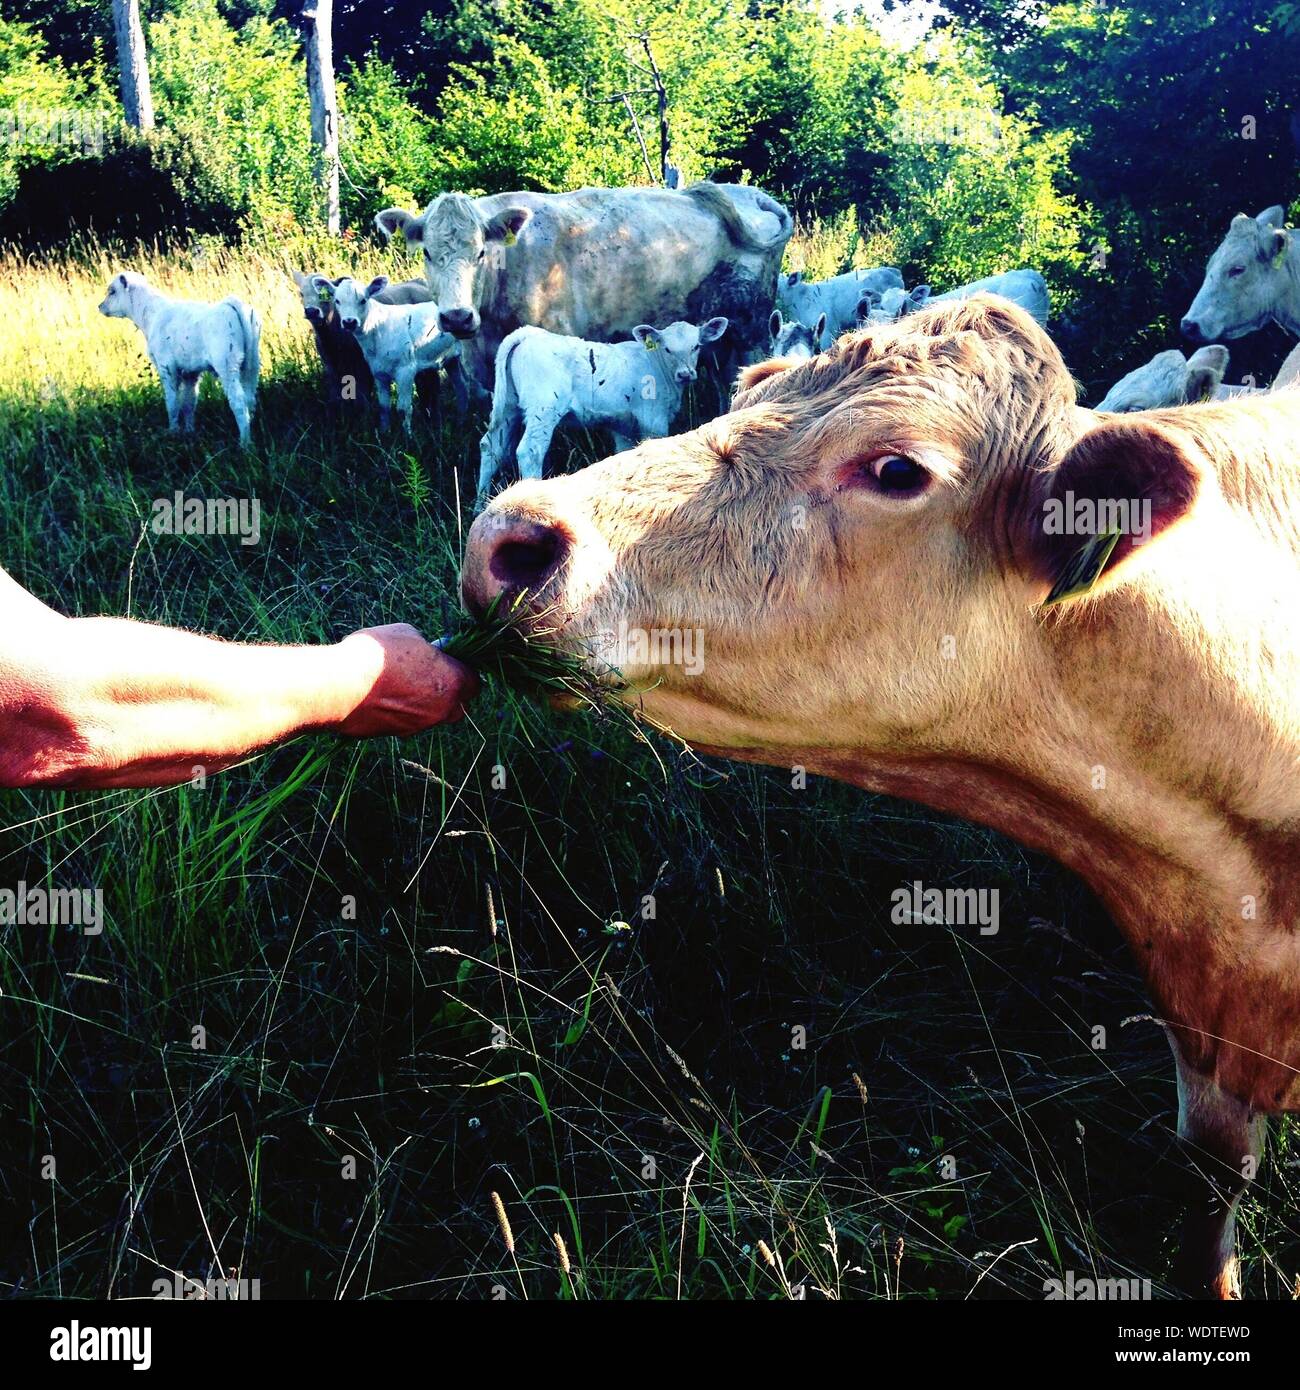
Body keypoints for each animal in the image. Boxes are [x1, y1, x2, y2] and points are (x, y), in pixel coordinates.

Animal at [98, 272, 260, 445]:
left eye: (112, 291)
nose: (100, 306)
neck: (152, 314)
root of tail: (229, 303)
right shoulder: (191, 371)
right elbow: (189, 402)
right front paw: (189, 432)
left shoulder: (166, 367)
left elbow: (172, 402)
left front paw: (173, 432)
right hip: (252, 365)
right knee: (250, 398)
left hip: (227, 366)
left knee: (239, 401)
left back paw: (244, 444)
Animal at [324, 275, 461, 432]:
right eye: (337, 301)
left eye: (363, 300)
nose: (349, 322)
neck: (377, 329)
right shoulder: (378, 372)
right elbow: (384, 408)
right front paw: (384, 432)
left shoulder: (406, 370)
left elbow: (403, 409)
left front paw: (408, 435)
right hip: (452, 359)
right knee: (462, 387)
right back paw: (462, 419)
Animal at [476, 317, 728, 505]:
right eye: (667, 349)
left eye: (696, 346)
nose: (685, 374)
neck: (656, 365)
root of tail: (528, 333)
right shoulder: (653, 419)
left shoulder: (622, 425)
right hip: (544, 408)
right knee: (530, 450)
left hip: (508, 407)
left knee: (491, 446)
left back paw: (480, 506)